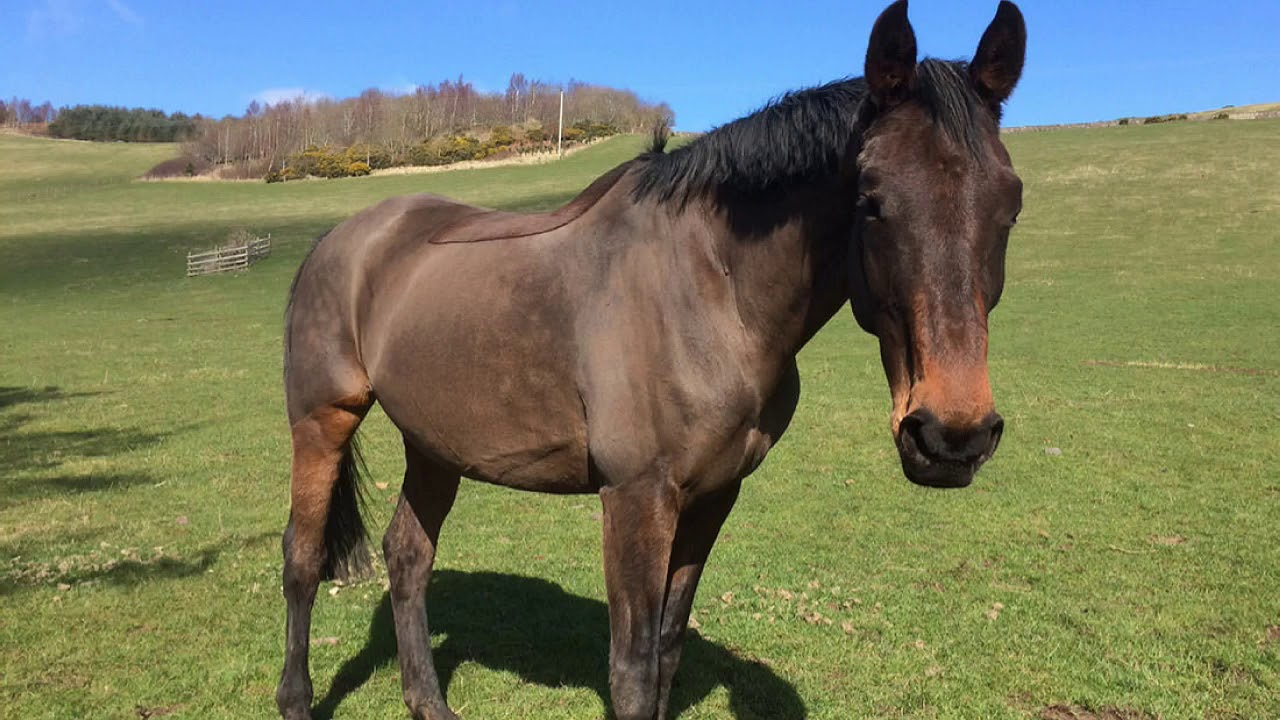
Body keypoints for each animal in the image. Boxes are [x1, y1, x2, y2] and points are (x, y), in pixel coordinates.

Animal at [275, 1, 1026, 718]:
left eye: (1011, 206)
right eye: (870, 202)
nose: (951, 434)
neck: (712, 290)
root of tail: (341, 240)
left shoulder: (713, 497)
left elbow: (666, 651)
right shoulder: (637, 498)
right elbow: (632, 673)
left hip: (435, 442)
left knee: (408, 557)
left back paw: (429, 703)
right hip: (322, 421)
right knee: (302, 560)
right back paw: (296, 699)